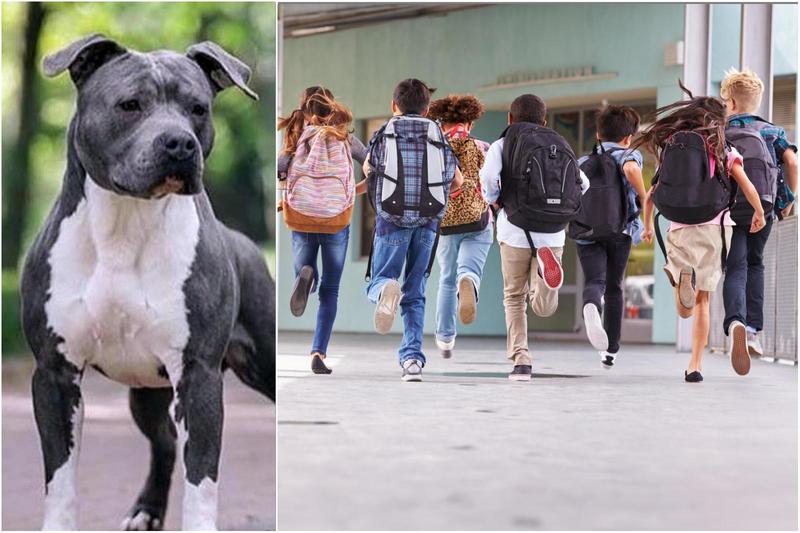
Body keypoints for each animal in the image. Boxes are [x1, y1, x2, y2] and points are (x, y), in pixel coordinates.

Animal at [20, 35, 276, 528]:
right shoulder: (55, 374)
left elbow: (202, 479)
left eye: (198, 108)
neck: (125, 223)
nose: (179, 143)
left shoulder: (197, 376)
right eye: (130, 105)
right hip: (146, 396)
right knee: (163, 443)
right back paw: (146, 511)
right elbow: (58, 479)